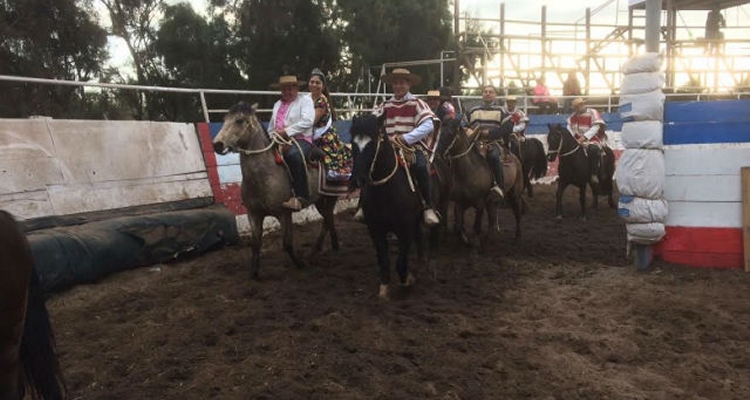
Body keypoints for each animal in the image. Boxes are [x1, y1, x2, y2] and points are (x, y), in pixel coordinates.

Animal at [212, 101, 340, 280]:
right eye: (224, 119)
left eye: (240, 120)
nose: (217, 144)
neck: (264, 176)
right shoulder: (254, 214)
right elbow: (256, 243)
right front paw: (254, 272)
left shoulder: (283, 214)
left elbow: (286, 244)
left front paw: (300, 263)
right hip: (321, 200)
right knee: (328, 218)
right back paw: (324, 248)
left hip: (330, 196)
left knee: (328, 218)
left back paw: (322, 249)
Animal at [352, 113, 426, 300]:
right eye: (353, 143)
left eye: (372, 143)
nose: (359, 180)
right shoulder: (375, 229)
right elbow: (384, 260)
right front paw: (384, 289)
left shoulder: (405, 228)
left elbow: (400, 262)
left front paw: (407, 280)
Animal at [438, 117, 524, 245]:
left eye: (450, 133)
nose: (437, 152)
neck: (469, 171)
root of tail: (514, 158)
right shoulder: (459, 202)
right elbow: (458, 226)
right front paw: (464, 239)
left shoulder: (479, 203)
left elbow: (477, 225)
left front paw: (475, 244)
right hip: (491, 201)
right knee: (492, 216)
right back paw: (489, 236)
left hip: (515, 193)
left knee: (517, 212)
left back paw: (518, 235)